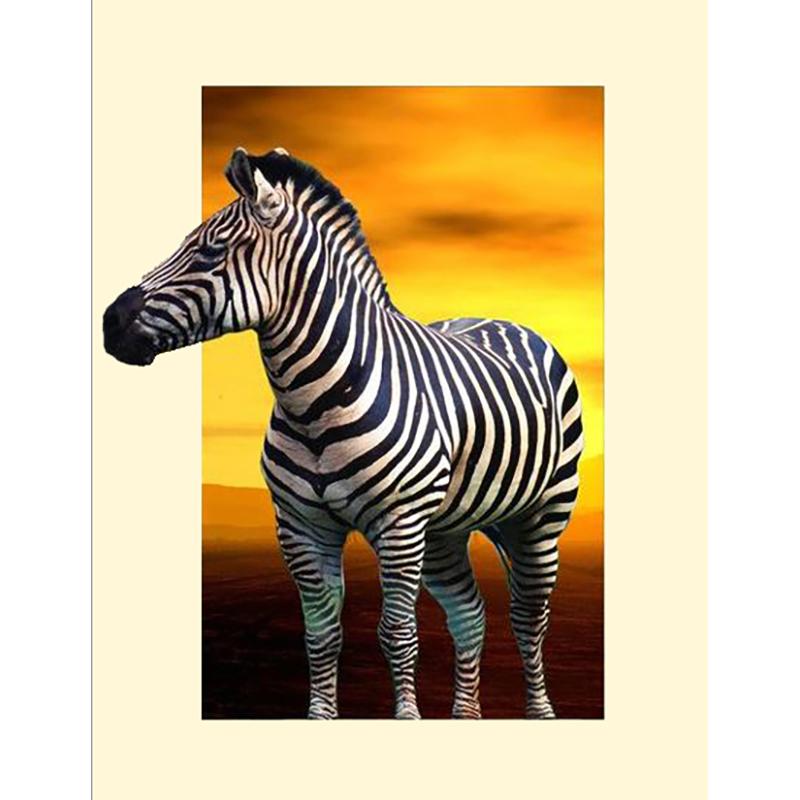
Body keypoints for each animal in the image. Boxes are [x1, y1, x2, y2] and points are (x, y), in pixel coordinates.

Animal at [103, 147, 584, 720]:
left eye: (209, 252)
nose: (109, 323)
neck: (312, 406)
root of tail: (501, 319)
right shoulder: (301, 527)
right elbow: (321, 636)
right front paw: (321, 715)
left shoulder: (398, 524)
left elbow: (397, 633)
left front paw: (406, 718)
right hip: (444, 529)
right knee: (470, 613)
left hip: (540, 517)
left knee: (528, 620)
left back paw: (540, 712)